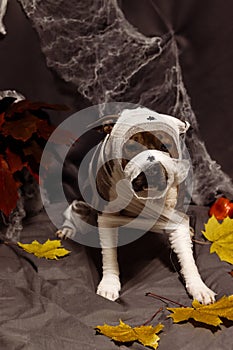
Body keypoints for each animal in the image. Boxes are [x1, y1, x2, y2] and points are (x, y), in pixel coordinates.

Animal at [55, 106, 216, 304]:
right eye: (131, 148)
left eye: (165, 147)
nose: (152, 168)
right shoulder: (107, 218)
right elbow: (109, 255)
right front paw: (109, 283)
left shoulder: (176, 217)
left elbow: (187, 258)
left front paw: (198, 286)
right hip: (83, 202)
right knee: (75, 210)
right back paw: (68, 229)